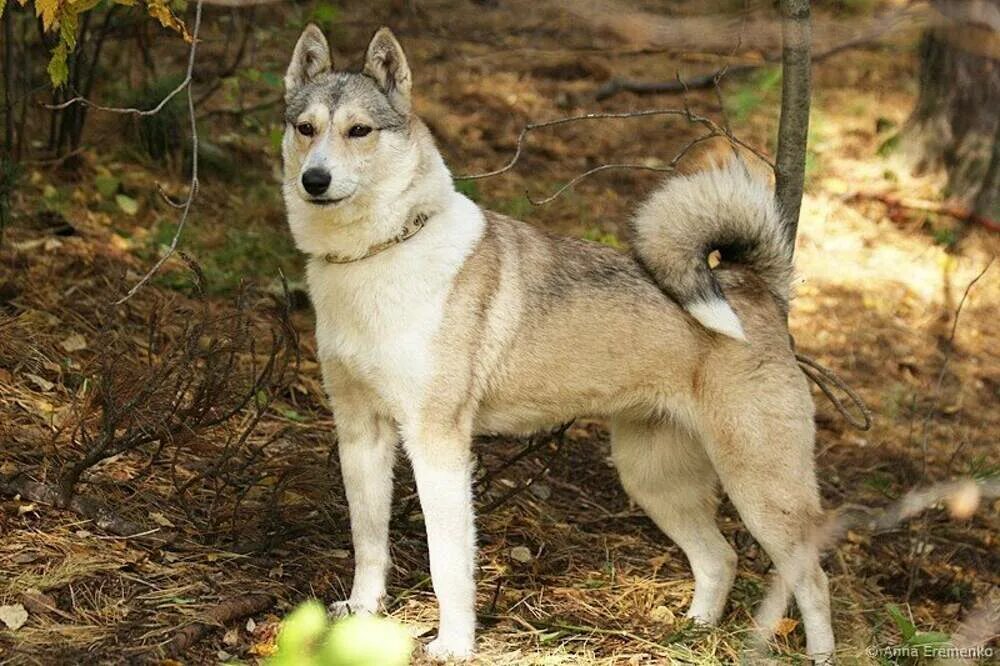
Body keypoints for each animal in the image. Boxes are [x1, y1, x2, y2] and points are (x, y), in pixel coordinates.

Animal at [280, 24, 836, 660]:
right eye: (306, 129)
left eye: (359, 131)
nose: (314, 180)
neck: (381, 252)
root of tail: (756, 287)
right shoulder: (360, 434)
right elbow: (368, 539)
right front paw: (362, 613)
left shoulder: (437, 443)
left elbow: (449, 563)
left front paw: (454, 643)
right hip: (652, 479)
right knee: (719, 558)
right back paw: (690, 630)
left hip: (761, 488)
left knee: (811, 578)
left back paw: (819, 653)